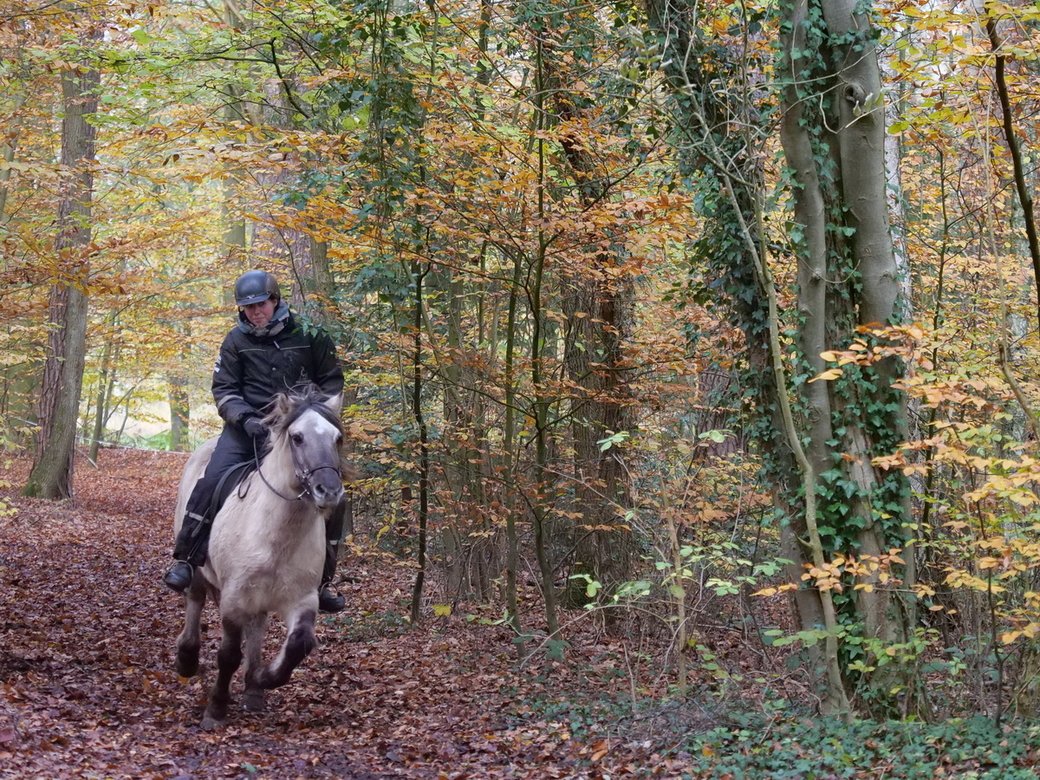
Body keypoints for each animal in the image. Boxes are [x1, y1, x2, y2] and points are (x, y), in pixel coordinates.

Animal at [171, 391, 345, 732]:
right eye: (297, 437)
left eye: (337, 438)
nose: (329, 491)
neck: (278, 536)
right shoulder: (234, 599)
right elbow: (228, 655)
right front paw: (216, 710)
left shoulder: (302, 599)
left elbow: (300, 643)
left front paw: (264, 677)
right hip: (198, 573)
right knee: (194, 599)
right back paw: (187, 659)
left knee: (257, 627)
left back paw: (253, 688)